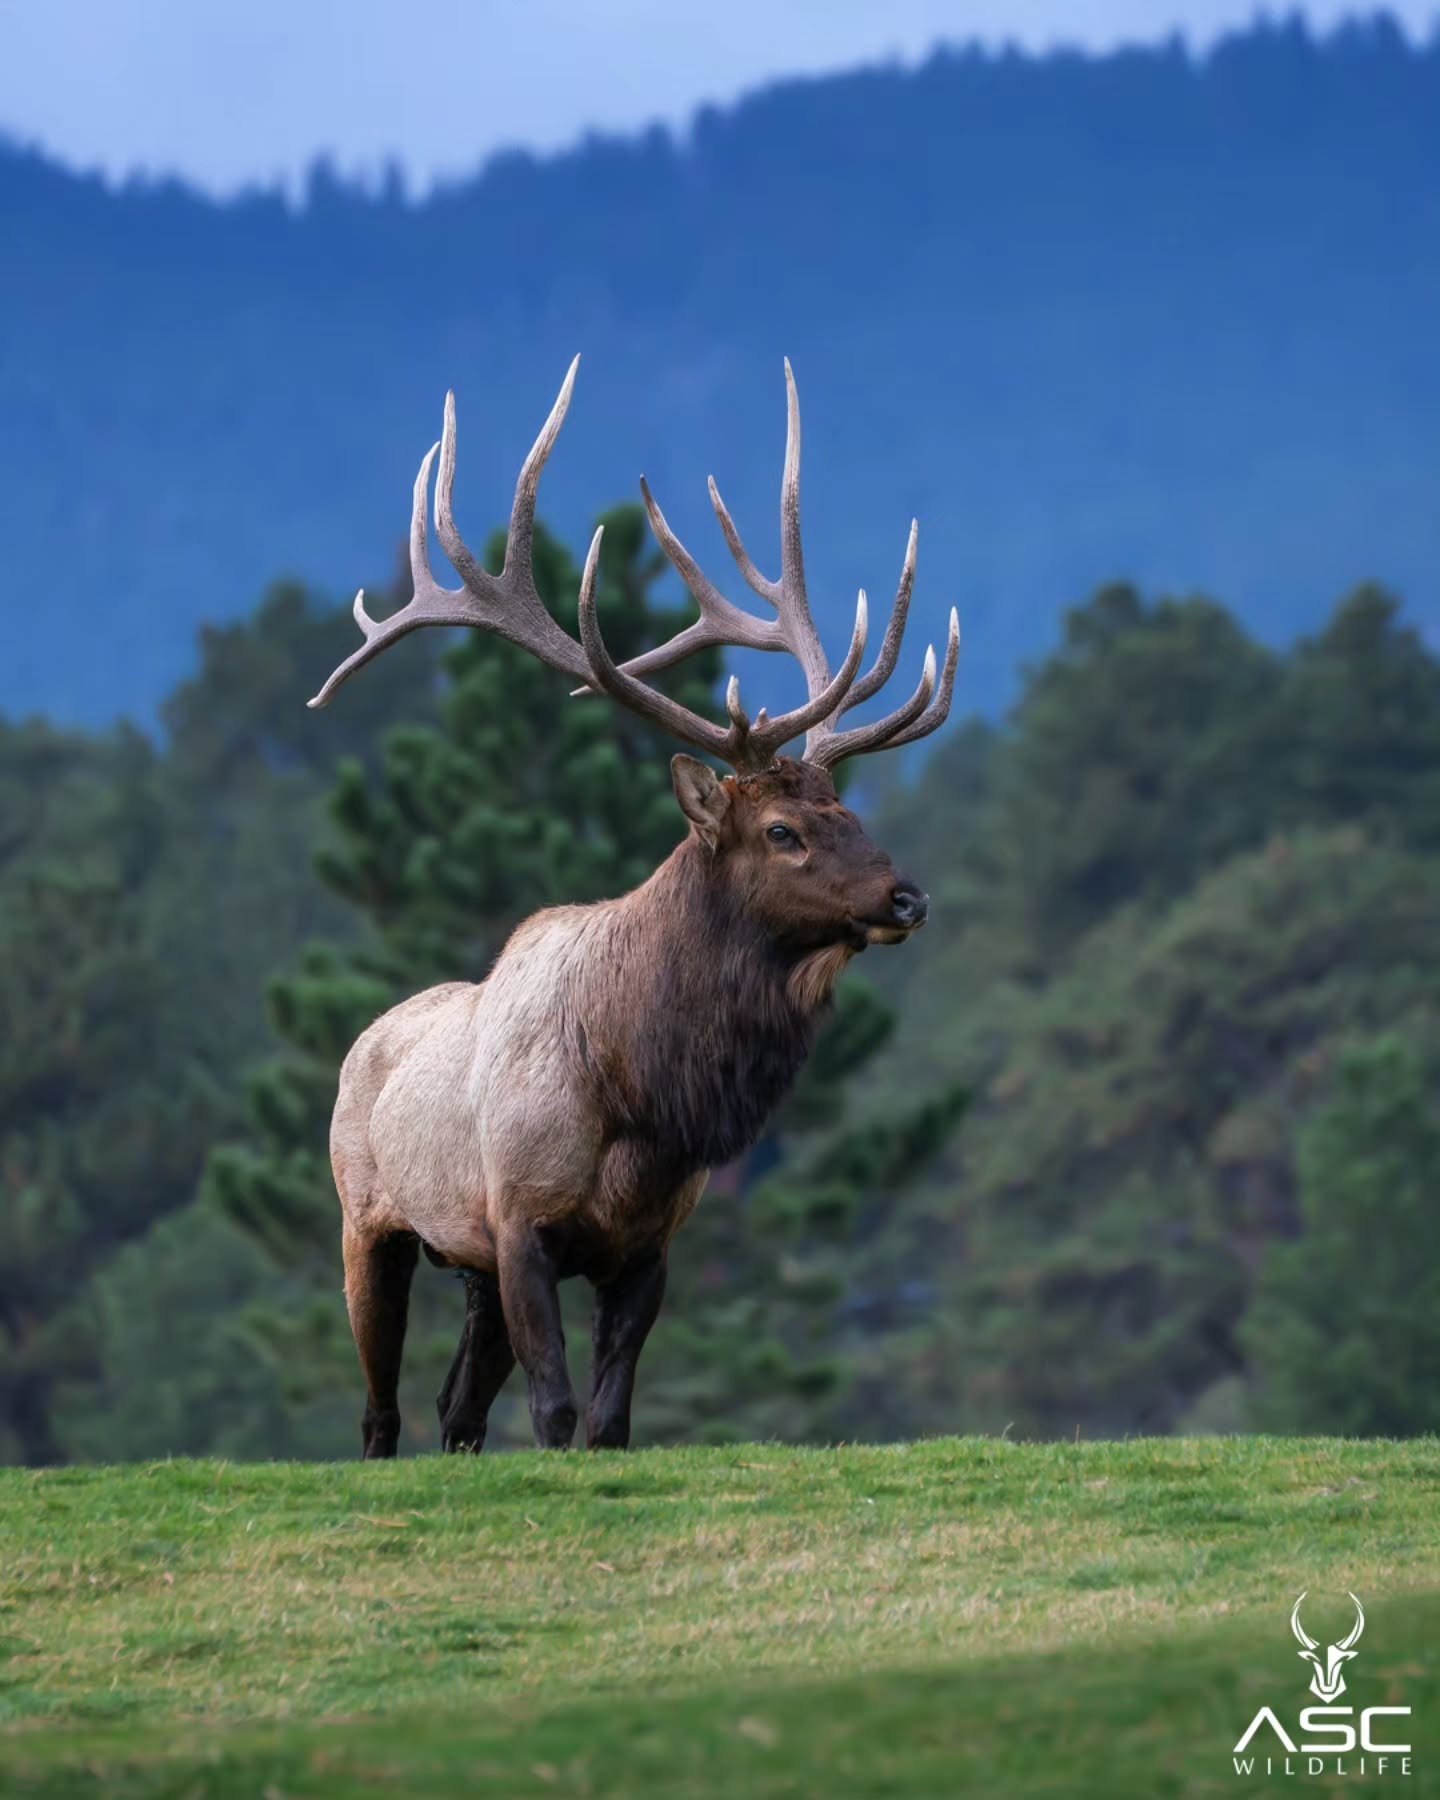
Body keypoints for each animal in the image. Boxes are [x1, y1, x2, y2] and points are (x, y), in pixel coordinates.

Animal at [309, 356, 960, 1456]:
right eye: (781, 831)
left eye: (847, 810)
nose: (906, 897)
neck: (644, 1099)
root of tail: (362, 1042)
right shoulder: (519, 1220)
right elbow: (556, 1408)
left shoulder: (649, 1241)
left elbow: (609, 1419)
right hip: (369, 1220)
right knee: (381, 1405)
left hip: (464, 1264)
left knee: (455, 1406)